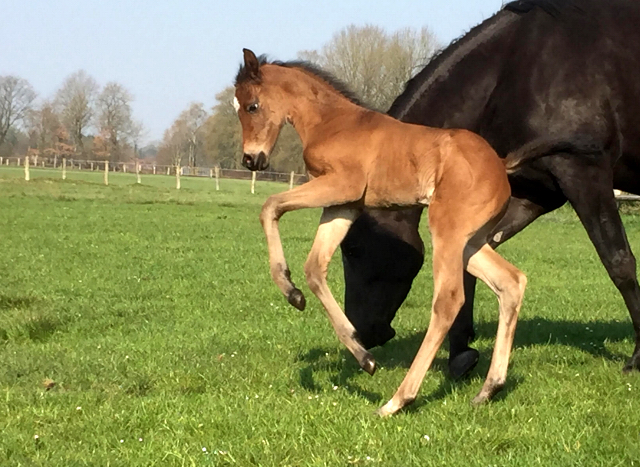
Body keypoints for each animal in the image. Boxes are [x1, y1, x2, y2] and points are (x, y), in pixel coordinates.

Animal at [232, 49, 528, 418]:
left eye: (252, 106)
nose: (251, 160)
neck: (331, 122)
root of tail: (500, 166)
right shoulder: (343, 205)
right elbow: (314, 268)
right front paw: (361, 353)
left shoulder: (341, 185)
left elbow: (270, 206)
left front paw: (289, 288)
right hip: (470, 242)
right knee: (511, 282)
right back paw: (489, 389)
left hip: (447, 232)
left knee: (449, 300)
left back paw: (398, 400)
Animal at [342, 0, 640, 378]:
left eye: (352, 249)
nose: (360, 333)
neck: (517, 66)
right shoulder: (535, 193)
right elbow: (470, 259)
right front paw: (461, 353)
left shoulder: (583, 171)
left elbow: (619, 262)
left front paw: (637, 357)